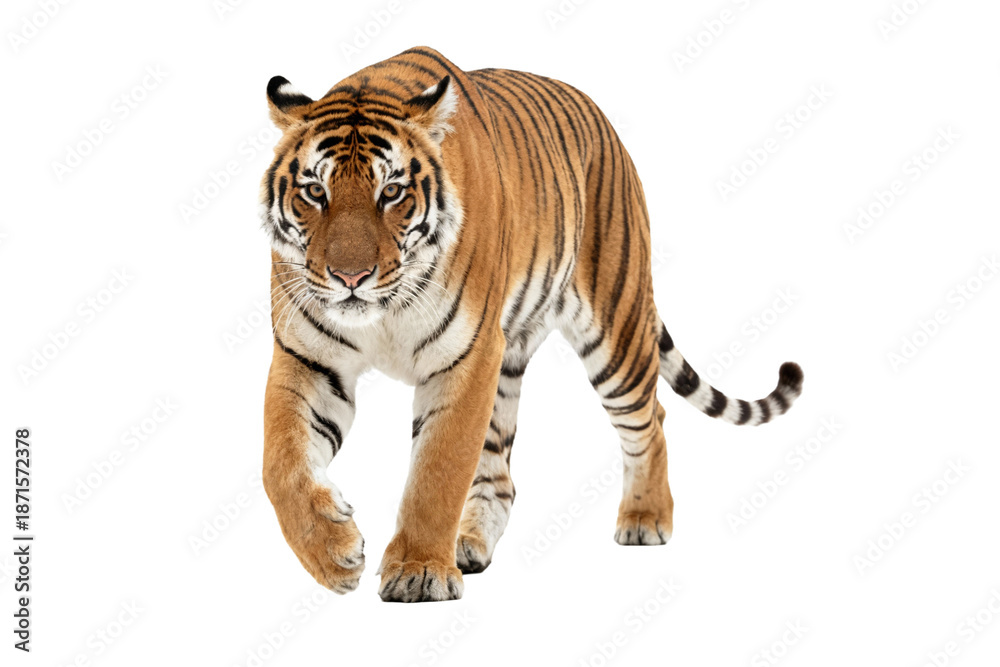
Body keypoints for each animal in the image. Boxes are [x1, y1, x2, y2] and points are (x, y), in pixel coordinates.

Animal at [260, 46, 803, 603]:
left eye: (391, 192)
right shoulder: (307, 357)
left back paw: (645, 518)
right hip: (510, 361)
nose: (351, 277)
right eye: (315, 191)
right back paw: (470, 543)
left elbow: (438, 471)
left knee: (651, 419)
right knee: (500, 472)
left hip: (616, 333)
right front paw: (333, 554)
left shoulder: (467, 357)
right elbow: (280, 463)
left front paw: (420, 571)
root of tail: (605, 124)